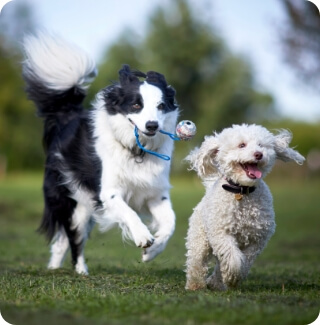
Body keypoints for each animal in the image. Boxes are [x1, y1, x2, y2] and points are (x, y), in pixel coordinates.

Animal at [23, 33, 178, 274]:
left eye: (161, 106)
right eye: (136, 105)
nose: (152, 125)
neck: (136, 151)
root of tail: (68, 116)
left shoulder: (155, 192)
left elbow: (171, 222)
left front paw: (152, 251)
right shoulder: (108, 191)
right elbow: (129, 212)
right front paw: (143, 236)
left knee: (61, 242)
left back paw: (54, 269)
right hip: (76, 204)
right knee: (73, 240)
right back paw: (81, 271)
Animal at [185, 123, 304, 288]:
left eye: (261, 145)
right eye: (242, 145)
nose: (259, 154)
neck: (242, 191)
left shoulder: (257, 238)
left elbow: (245, 259)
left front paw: (232, 277)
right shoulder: (221, 233)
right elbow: (233, 258)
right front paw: (232, 277)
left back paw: (215, 282)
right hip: (200, 238)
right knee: (197, 262)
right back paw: (195, 285)